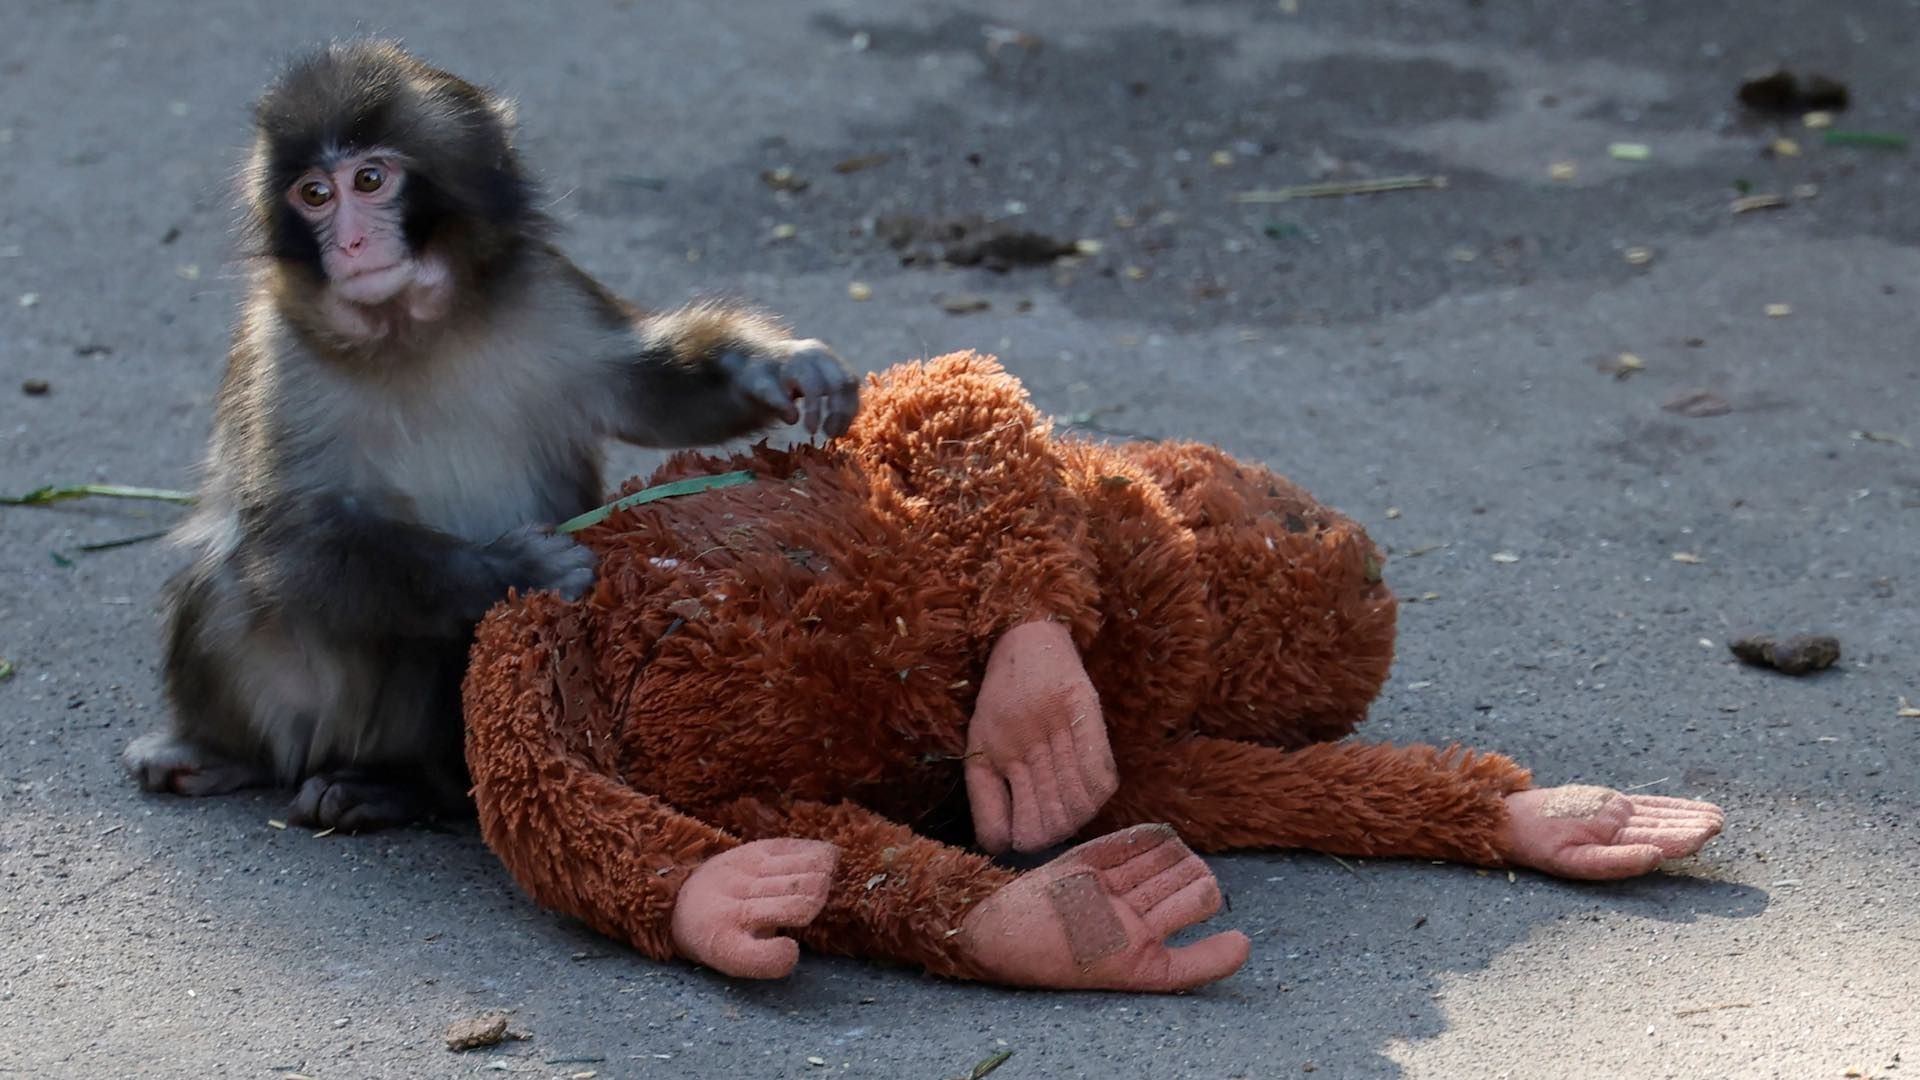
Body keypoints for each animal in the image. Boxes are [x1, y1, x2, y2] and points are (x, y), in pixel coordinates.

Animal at [119, 39, 862, 832]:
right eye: (313, 194)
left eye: (370, 180)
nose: (351, 241)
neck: (411, 330)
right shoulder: (278, 354)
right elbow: (288, 539)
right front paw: (515, 567)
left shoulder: (546, 292)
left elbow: (648, 391)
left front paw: (777, 366)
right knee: (228, 582)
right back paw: (231, 754)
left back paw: (399, 786)